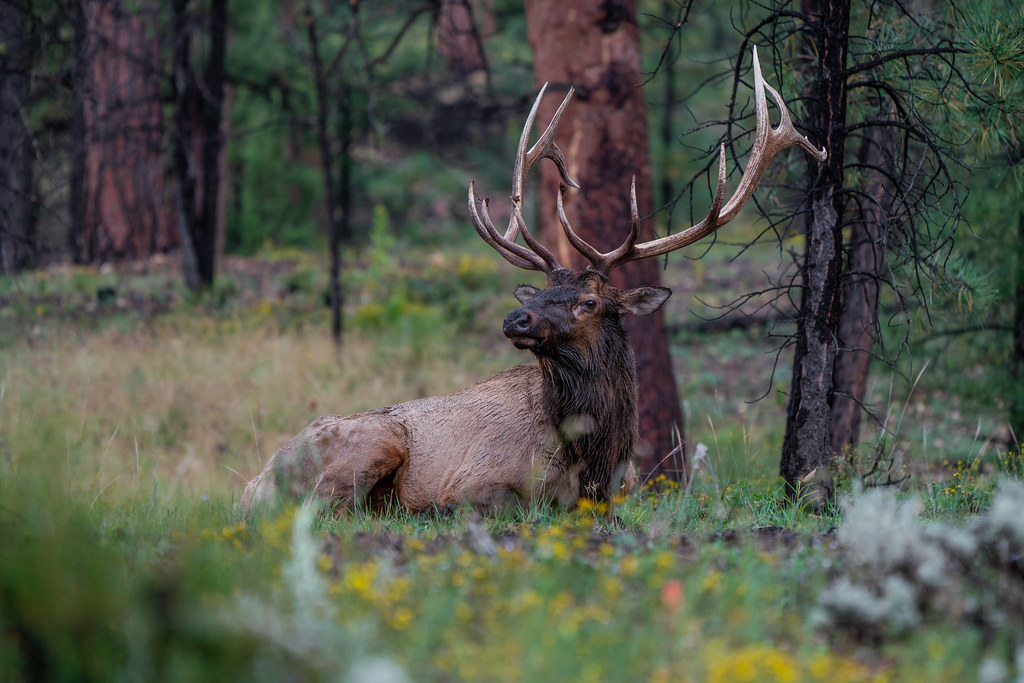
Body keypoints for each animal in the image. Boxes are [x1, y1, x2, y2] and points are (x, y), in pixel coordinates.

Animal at [239, 47, 825, 516]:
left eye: (589, 301)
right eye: (540, 292)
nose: (514, 318)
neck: (592, 458)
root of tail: (256, 478)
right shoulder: (473, 483)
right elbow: (491, 504)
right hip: (373, 442)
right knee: (324, 508)